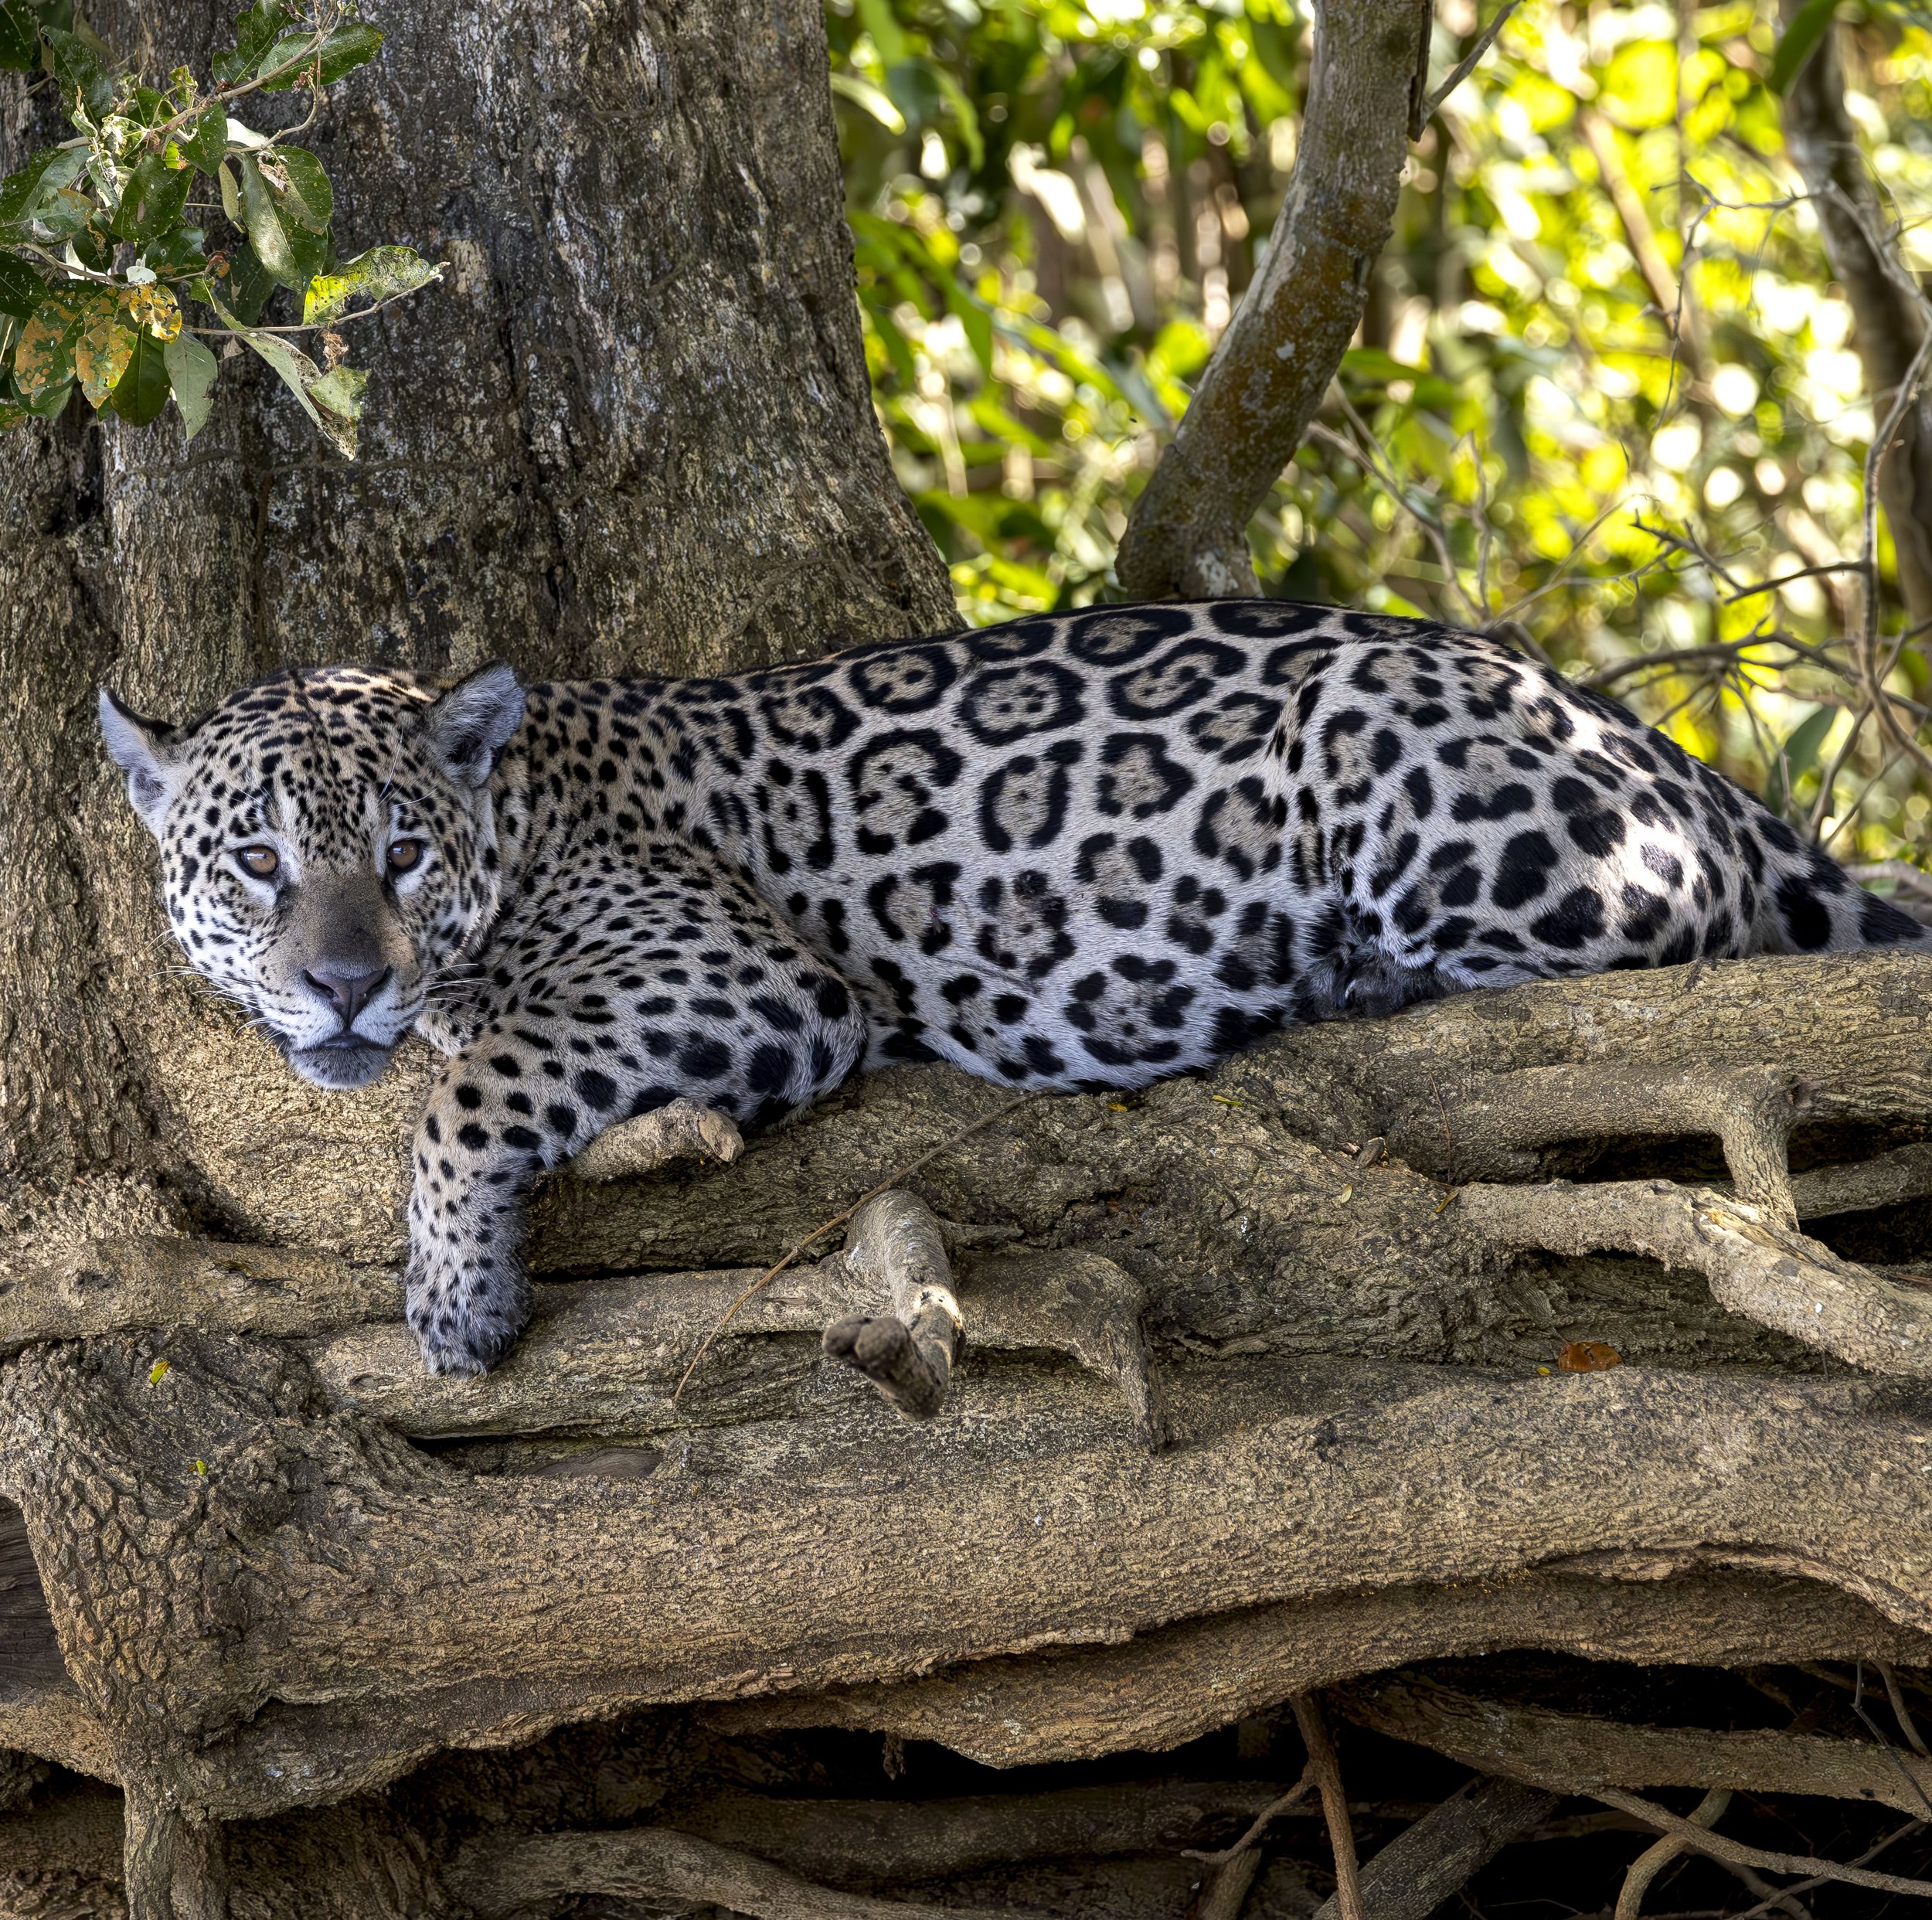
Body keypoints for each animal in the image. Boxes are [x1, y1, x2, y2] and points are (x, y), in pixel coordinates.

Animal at [101, 599, 1927, 1376]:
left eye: (402, 852)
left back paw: (1327, 986)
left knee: (1628, 952)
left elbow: (477, 1086)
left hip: (1408, 756)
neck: (532, 810)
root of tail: (1668, 750)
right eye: (257, 860)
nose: (345, 984)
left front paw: (455, 1295)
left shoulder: (749, 976)